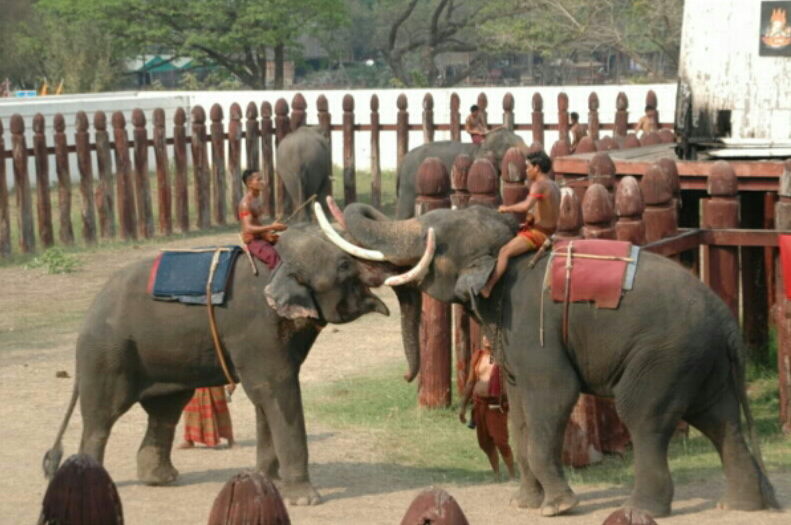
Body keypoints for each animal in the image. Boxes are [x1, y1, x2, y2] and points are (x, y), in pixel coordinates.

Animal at [42, 223, 407, 505]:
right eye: (345, 265)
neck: (279, 258)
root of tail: (90, 310)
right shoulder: (257, 327)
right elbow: (275, 388)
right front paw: (306, 499)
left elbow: (267, 397)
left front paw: (267, 480)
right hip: (109, 351)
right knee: (102, 416)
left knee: (165, 410)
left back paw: (162, 479)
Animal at [316, 200, 780, 518]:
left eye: (437, 240)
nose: (405, 375)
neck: (508, 251)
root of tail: (727, 321)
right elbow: (519, 410)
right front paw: (522, 503)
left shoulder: (528, 326)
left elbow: (554, 395)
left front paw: (558, 507)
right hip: (700, 361)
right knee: (721, 421)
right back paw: (740, 507)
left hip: (663, 357)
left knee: (645, 417)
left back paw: (643, 510)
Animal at [395, 128, 532, 219]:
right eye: (508, 146)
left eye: (522, 139)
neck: (480, 146)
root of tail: (402, 161)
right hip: (409, 184)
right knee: (406, 212)